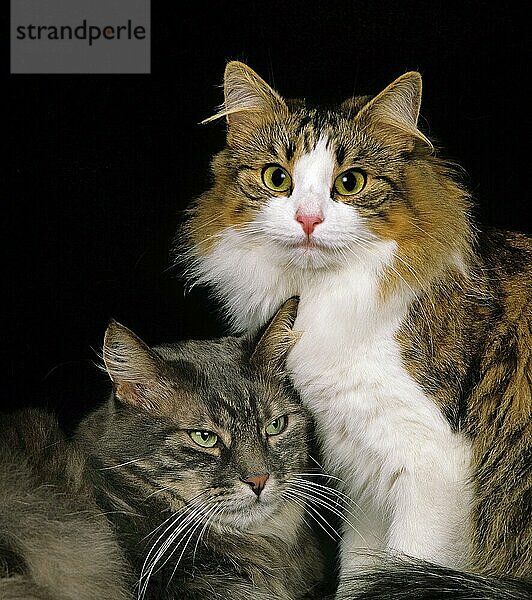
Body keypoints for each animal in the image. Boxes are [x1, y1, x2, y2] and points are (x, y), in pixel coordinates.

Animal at [179, 61, 532, 596]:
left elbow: (408, 561)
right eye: (277, 178)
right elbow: (360, 570)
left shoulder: (432, 465)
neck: (320, 300)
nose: (308, 219)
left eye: (350, 183)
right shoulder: (362, 466)